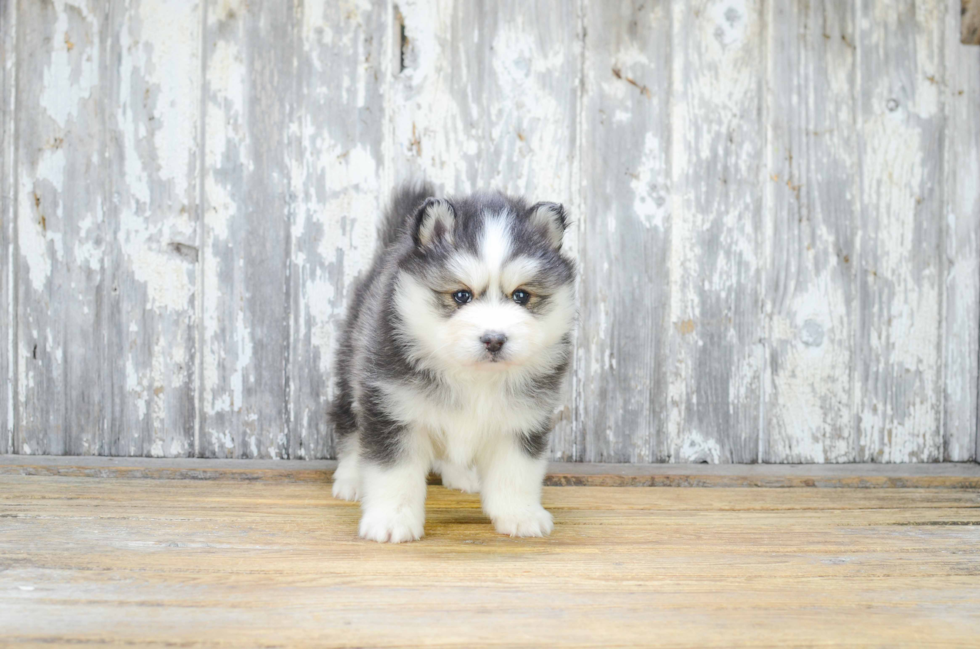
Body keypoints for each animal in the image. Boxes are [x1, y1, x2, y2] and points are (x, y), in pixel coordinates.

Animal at [332, 182, 576, 540]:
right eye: (461, 295)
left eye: (521, 296)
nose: (494, 339)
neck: (474, 376)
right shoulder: (392, 409)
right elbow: (394, 475)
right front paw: (391, 520)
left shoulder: (522, 419)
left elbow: (516, 472)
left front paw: (520, 514)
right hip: (353, 371)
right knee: (350, 429)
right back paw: (350, 479)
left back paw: (462, 476)